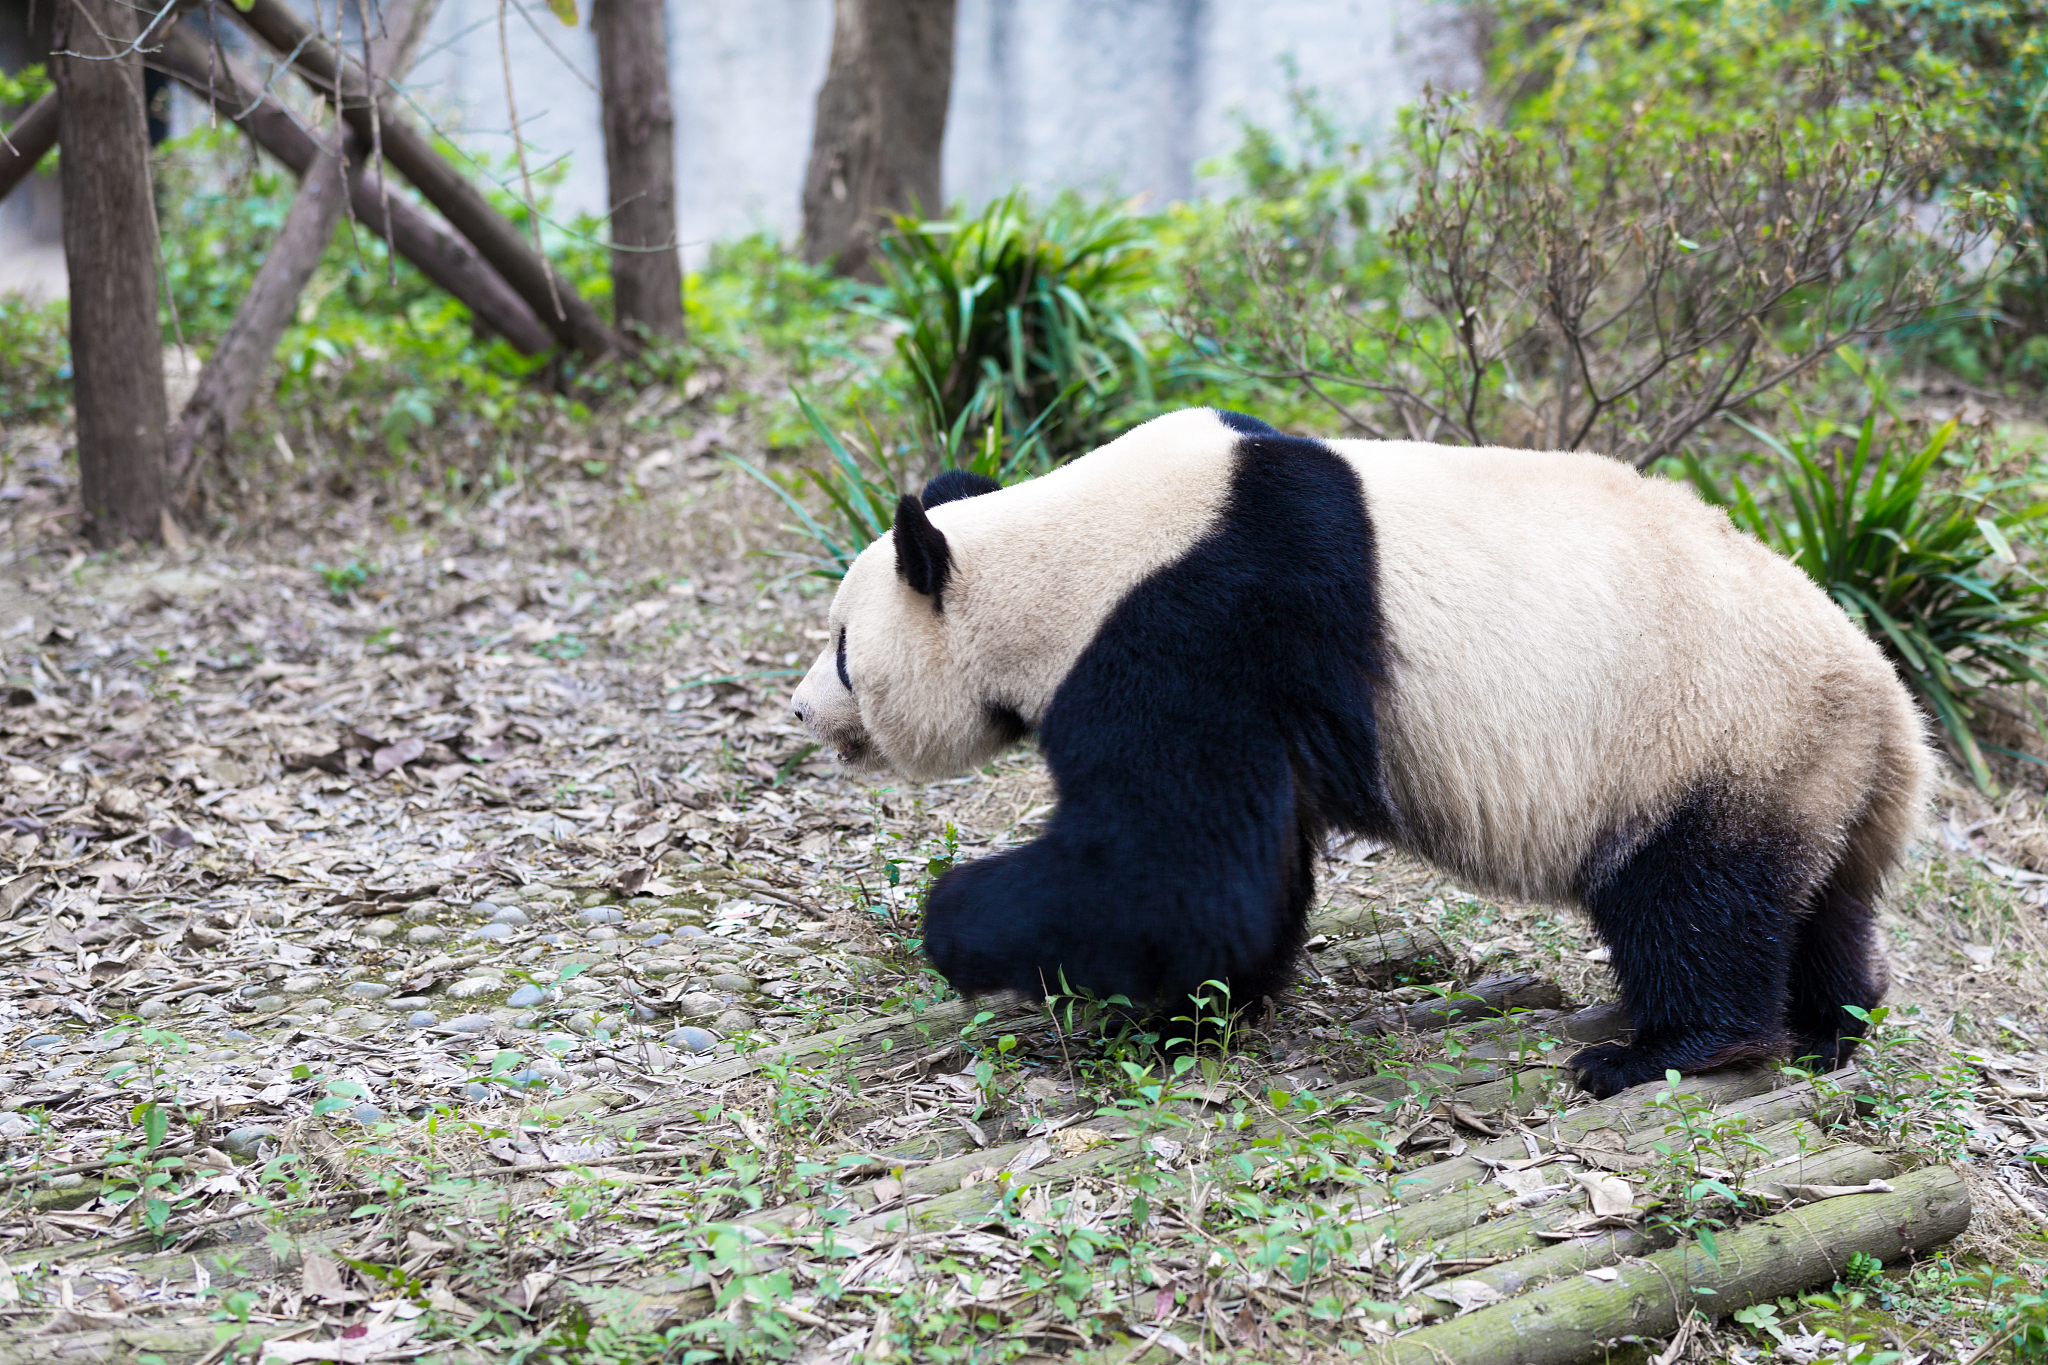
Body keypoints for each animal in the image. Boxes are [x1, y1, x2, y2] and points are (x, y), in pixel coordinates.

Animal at [786, 405, 1933, 1096]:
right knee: (1817, 899)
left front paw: (961, 925)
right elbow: (1246, 869)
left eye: (842, 649)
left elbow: (1179, 866)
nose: (799, 714)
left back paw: (1665, 1049)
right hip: (1809, 768)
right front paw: (1199, 1012)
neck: (1065, 547)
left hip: (1709, 734)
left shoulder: (1194, 623)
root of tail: (1892, 710)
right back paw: (1833, 1021)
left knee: (1692, 898)